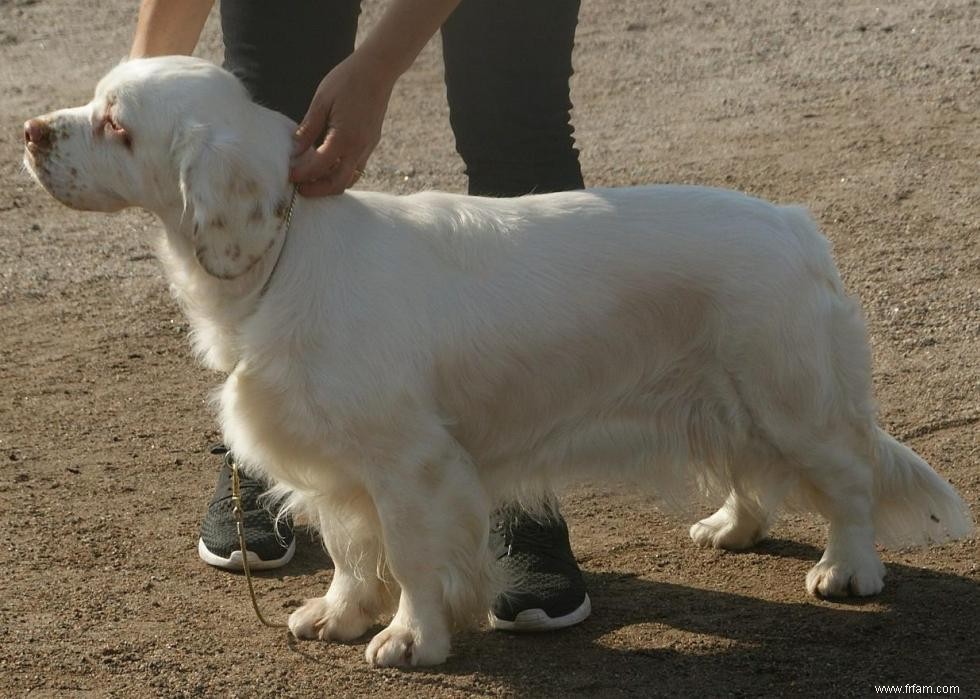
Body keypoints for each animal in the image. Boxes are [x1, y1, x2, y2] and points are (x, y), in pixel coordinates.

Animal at [23, 58, 972, 668]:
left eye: (116, 123)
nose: (30, 131)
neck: (285, 257)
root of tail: (794, 224)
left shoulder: (408, 461)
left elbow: (408, 556)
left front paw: (410, 640)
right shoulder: (337, 464)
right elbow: (351, 549)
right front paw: (338, 614)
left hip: (788, 394)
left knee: (847, 481)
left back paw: (847, 571)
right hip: (725, 394)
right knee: (750, 471)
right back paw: (731, 527)